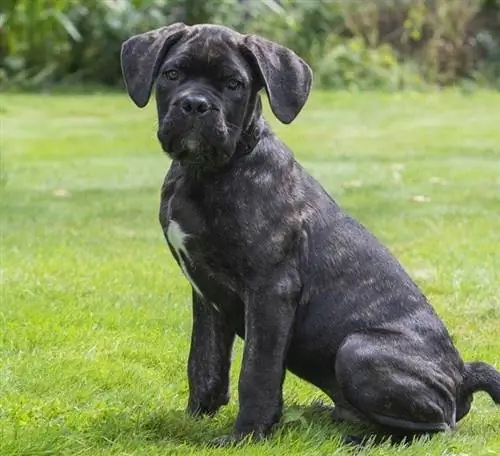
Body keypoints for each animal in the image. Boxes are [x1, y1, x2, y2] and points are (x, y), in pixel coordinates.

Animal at [121, 22, 500, 446]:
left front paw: (246, 435)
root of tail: (463, 376)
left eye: (234, 84)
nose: (195, 105)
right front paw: (192, 419)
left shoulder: (271, 290)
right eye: (172, 75)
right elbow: (203, 363)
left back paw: (363, 439)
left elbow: (257, 371)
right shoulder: (206, 296)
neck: (206, 173)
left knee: (437, 427)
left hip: (358, 349)